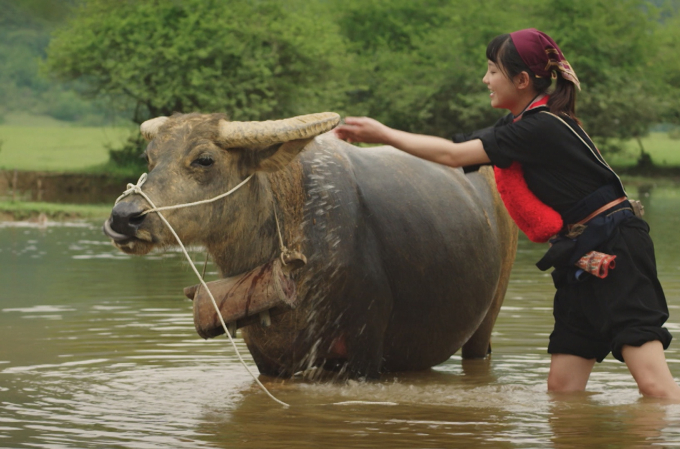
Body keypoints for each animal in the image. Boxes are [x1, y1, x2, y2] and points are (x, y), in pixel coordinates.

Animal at [102, 112, 516, 378]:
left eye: (205, 159)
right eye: (151, 158)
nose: (124, 217)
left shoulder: (364, 354)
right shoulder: (268, 359)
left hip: (488, 317)